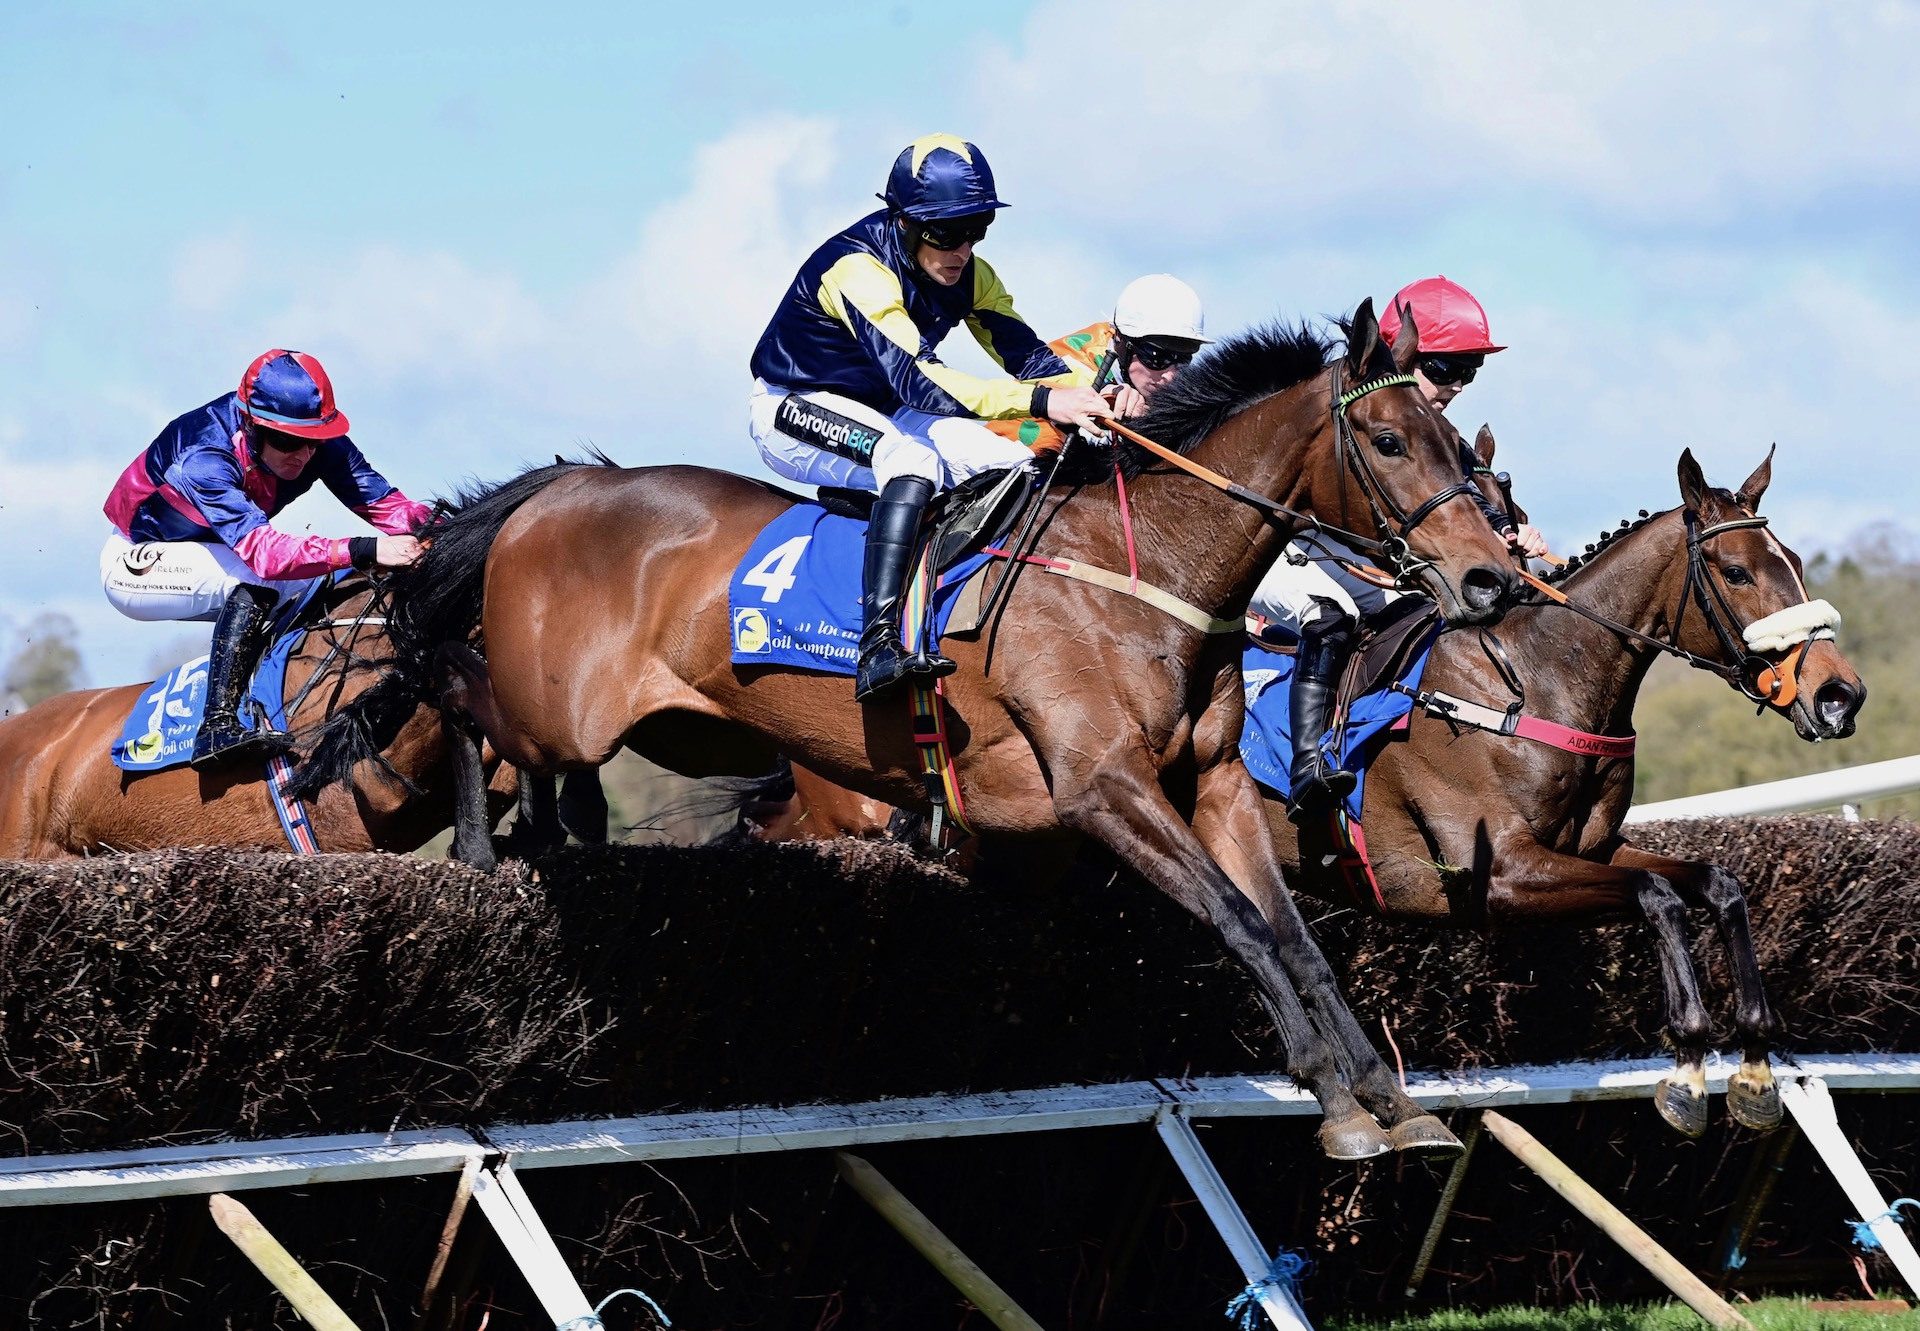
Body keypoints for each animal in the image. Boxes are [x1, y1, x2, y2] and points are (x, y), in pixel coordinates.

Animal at [303, 305, 1528, 1160]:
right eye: (1388, 440)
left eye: (1455, 440)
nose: (1488, 580)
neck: (1143, 573)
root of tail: (557, 489)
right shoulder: (1103, 788)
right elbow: (1239, 923)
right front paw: (1334, 1090)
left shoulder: (1214, 784)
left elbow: (1292, 934)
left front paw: (1382, 1096)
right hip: (555, 704)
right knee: (452, 683)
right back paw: (478, 849)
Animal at [1267, 445, 1866, 1129]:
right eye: (1737, 572)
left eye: (1795, 562)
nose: (1840, 695)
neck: (1533, 682)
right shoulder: (1499, 877)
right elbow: (1657, 894)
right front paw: (1688, 1063)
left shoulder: (1591, 851)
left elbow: (1717, 883)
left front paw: (1757, 1066)